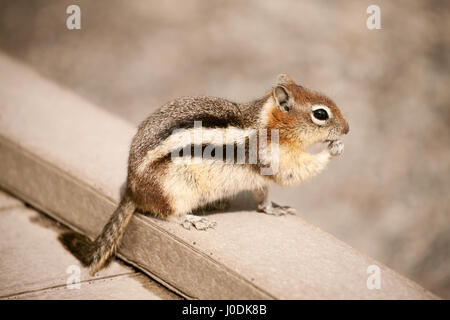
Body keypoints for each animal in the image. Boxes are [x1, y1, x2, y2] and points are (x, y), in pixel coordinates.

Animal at [60, 74, 348, 274]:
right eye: (320, 114)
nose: (347, 129)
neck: (266, 124)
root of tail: (132, 189)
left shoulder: (260, 178)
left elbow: (264, 197)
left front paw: (275, 208)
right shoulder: (275, 159)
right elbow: (295, 173)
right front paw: (333, 150)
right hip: (175, 188)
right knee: (169, 214)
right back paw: (193, 219)